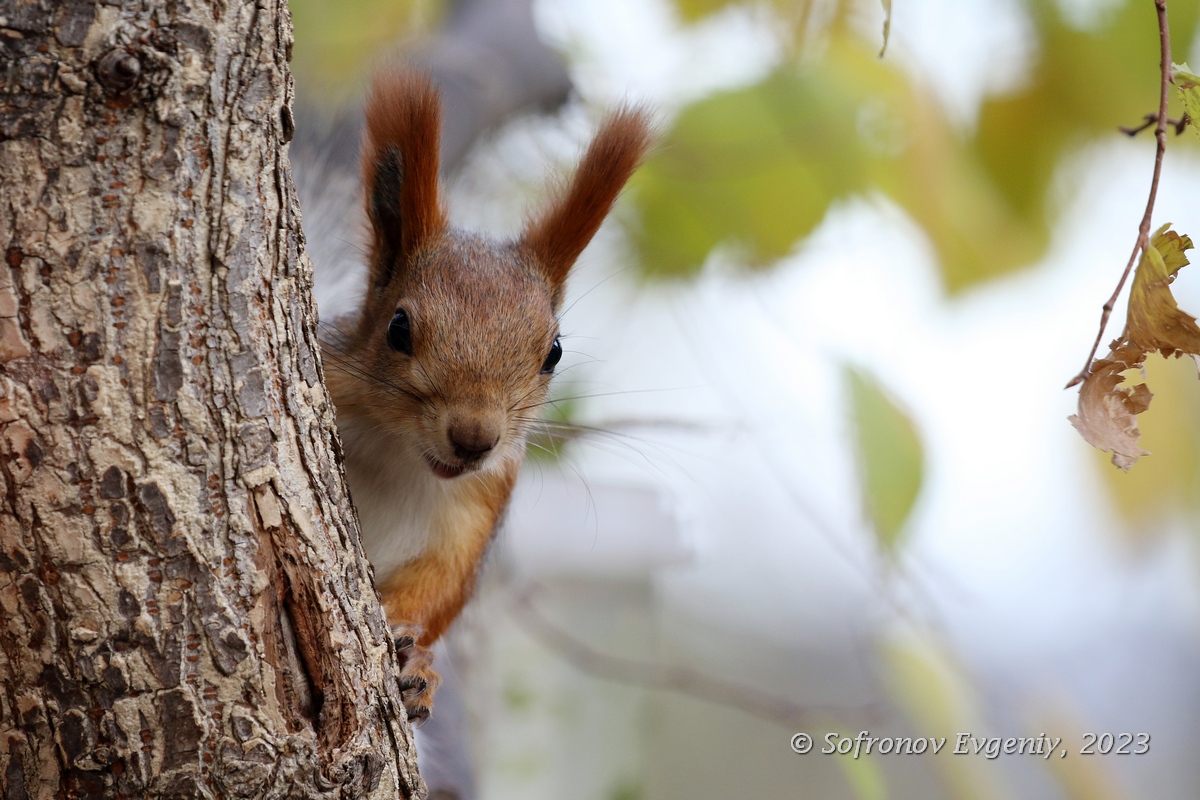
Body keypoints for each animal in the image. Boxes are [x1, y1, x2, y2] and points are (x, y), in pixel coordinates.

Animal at [319, 71, 652, 724]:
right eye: (398, 328)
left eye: (553, 352)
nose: (474, 438)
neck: (400, 454)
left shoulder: (484, 498)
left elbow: (442, 584)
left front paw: (417, 665)